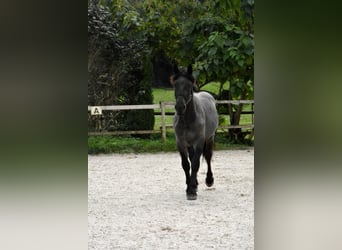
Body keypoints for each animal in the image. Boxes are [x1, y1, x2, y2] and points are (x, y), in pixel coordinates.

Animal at [172, 64, 218, 199]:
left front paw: (192, 191)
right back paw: (196, 182)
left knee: (207, 156)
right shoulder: (181, 143)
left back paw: (209, 180)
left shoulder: (199, 142)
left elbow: (195, 164)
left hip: (210, 138)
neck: (188, 119)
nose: (180, 107)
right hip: (190, 143)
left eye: (189, 85)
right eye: (175, 85)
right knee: (191, 158)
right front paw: (190, 186)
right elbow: (186, 164)